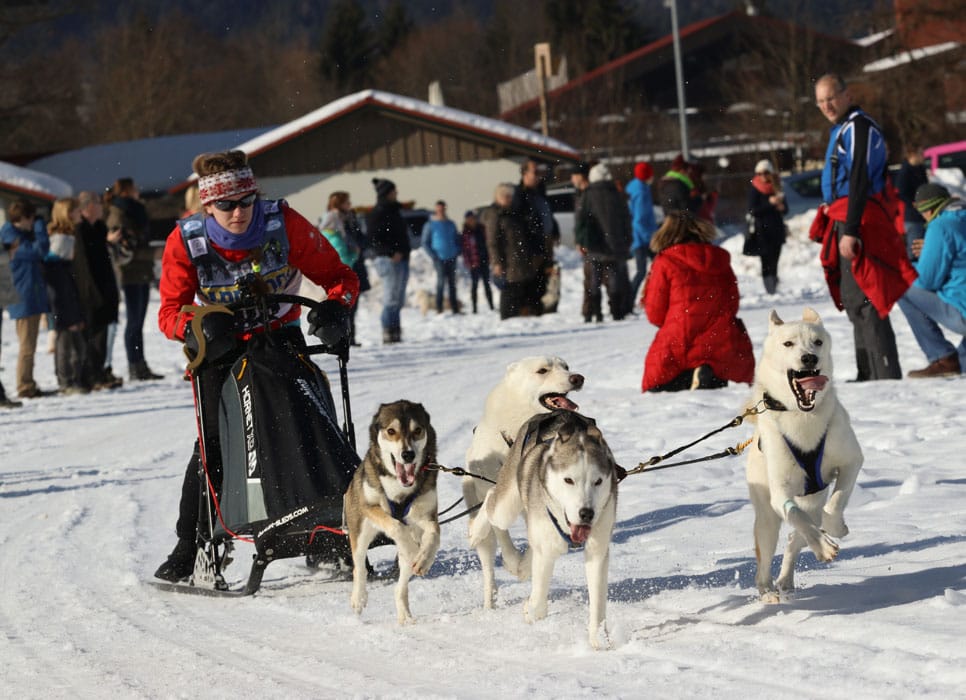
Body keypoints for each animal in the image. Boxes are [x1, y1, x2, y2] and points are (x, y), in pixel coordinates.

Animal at [342, 400, 440, 624]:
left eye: (418, 430)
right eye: (391, 431)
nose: (408, 455)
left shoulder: (426, 515)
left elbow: (434, 534)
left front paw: (424, 558)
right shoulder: (370, 508)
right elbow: (396, 526)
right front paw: (414, 551)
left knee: (400, 587)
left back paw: (405, 615)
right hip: (359, 531)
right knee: (359, 566)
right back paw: (359, 597)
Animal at [466, 356, 588, 608]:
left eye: (566, 367)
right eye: (542, 370)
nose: (577, 378)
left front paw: (524, 566)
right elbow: (501, 530)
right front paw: (514, 562)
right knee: (488, 557)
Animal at [468, 410, 620, 652]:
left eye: (598, 481)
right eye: (569, 480)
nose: (587, 513)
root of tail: (556, 414)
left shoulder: (597, 551)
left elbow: (597, 603)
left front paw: (599, 639)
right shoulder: (546, 550)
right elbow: (538, 600)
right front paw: (531, 610)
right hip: (506, 505)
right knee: (492, 500)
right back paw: (477, 532)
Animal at [744, 308, 864, 604]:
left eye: (817, 342)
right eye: (788, 343)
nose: (809, 357)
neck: (802, 417)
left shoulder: (851, 461)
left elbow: (835, 503)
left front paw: (835, 528)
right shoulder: (780, 493)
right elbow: (796, 515)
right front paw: (823, 546)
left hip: (812, 500)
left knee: (796, 537)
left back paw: (786, 580)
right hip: (766, 519)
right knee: (766, 557)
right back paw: (768, 592)